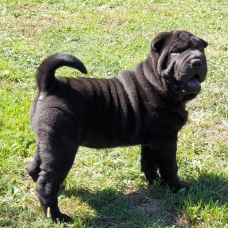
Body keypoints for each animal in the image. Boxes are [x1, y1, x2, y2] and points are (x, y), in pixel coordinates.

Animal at [28, 29, 207, 222]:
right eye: (175, 52)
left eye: (200, 49)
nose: (197, 60)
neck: (158, 83)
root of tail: (50, 85)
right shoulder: (165, 140)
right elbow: (170, 166)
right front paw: (177, 187)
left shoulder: (151, 141)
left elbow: (149, 163)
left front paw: (155, 182)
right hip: (62, 149)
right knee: (46, 184)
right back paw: (58, 216)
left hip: (47, 142)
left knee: (35, 169)